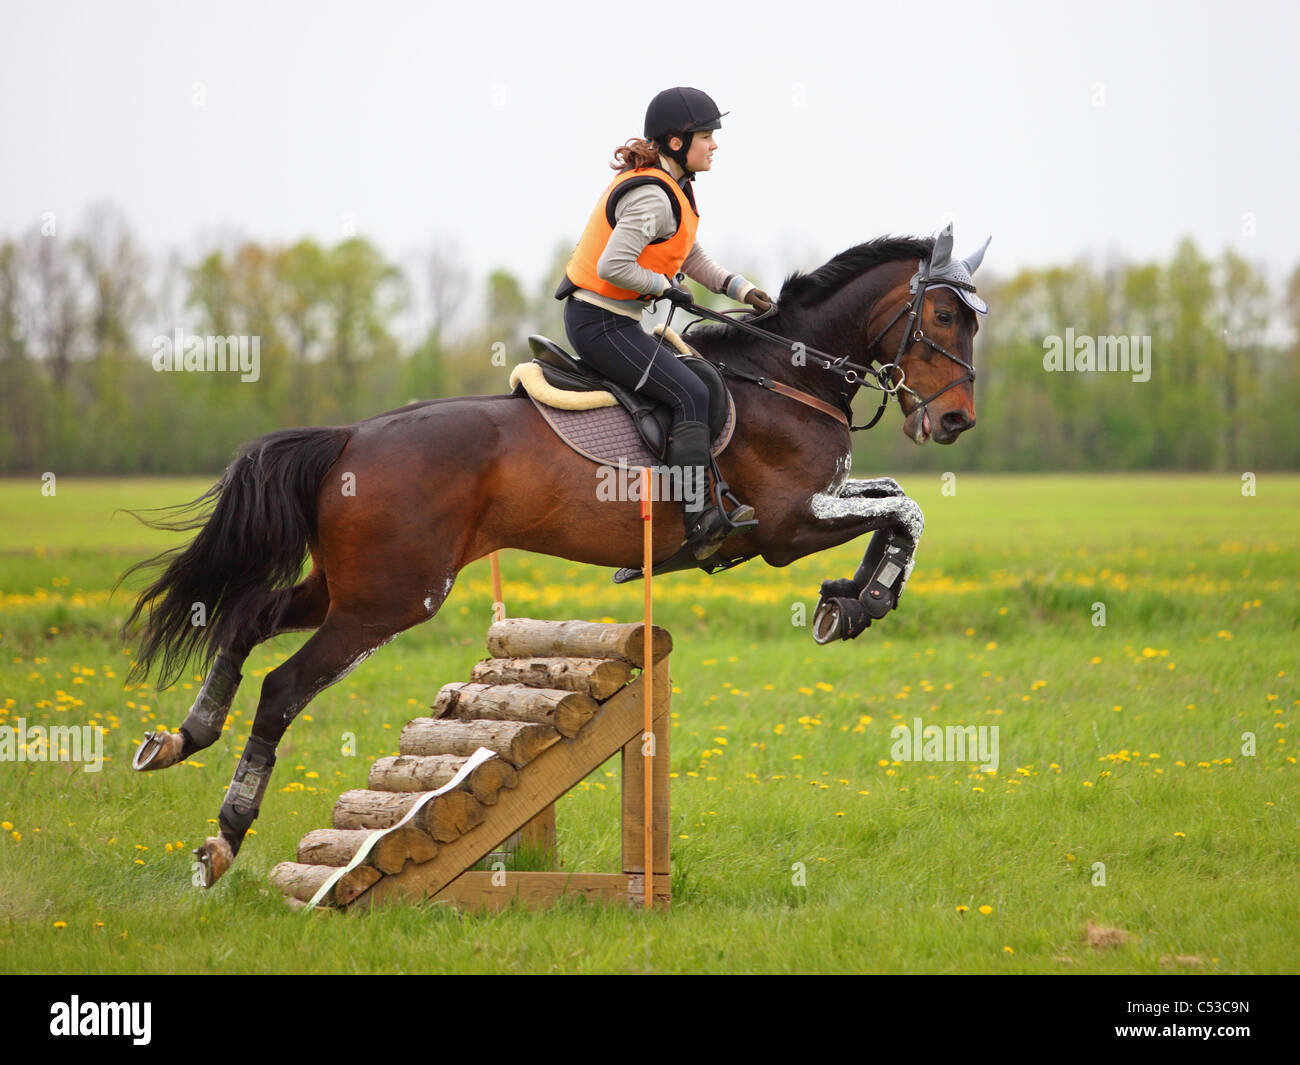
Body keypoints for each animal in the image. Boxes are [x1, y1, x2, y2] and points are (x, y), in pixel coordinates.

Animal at [122, 225, 989, 886]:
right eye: (945, 315)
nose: (955, 421)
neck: (783, 375)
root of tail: (350, 437)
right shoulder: (785, 525)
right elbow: (904, 511)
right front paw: (862, 599)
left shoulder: (815, 508)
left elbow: (894, 505)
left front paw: (850, 596)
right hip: (389, 600)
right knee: (281, 687)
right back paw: (224, 836)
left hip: (345, 585)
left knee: (245, 621)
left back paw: (181, 737)